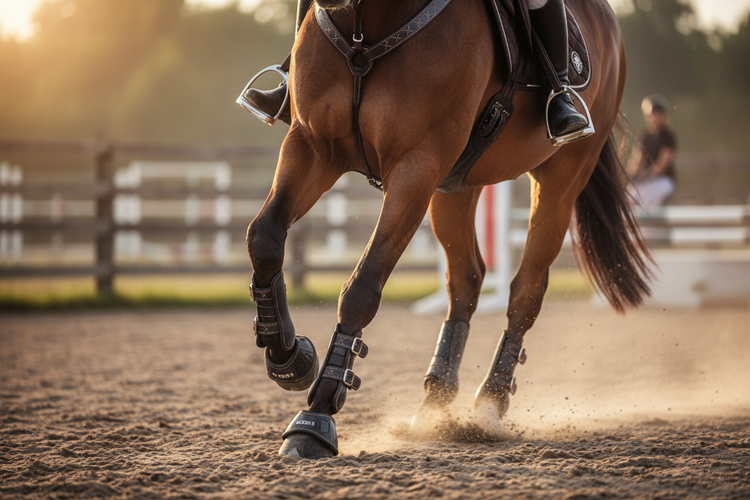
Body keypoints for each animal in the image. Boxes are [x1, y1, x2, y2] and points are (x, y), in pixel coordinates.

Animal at [245, 0, 652, 458]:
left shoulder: (415, 169)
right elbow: (264, 237)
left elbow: (362, 289)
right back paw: (434, 405)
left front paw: (317, 415)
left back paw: (489, 404)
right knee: (466, 280)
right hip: (455, 186)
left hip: (561, 181)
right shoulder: (312, 148)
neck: (363, 30)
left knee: (526, 291)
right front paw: (290, 357)